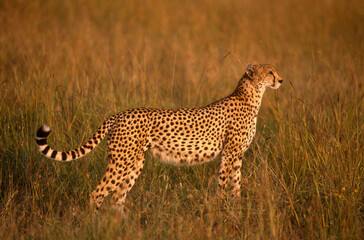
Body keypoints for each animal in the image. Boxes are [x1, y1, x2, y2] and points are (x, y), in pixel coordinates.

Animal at [35, 63, 282, 212]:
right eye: (270, 72)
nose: (280, 80)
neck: (251, 96)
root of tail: (120, 113)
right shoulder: (230, 153)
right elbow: (223, 184)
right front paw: (221, 212)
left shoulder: (236, 155)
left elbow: (236, 184)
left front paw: (237, 210)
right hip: (121, 161)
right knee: (97, 194)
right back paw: (96, 225)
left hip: (134, 162)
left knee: (117, 197)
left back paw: (123, 227)